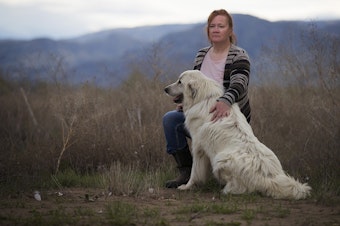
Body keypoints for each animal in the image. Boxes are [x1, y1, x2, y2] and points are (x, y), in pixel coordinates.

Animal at [164, 69, 310, 199]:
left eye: (180, 82)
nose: (165, 89)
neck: (204, 98)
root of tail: (268, 177)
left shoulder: (198, 148)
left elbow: (195, 172)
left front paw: (187, 186)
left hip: (220, 159)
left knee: (241, 188)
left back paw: (226, 190)